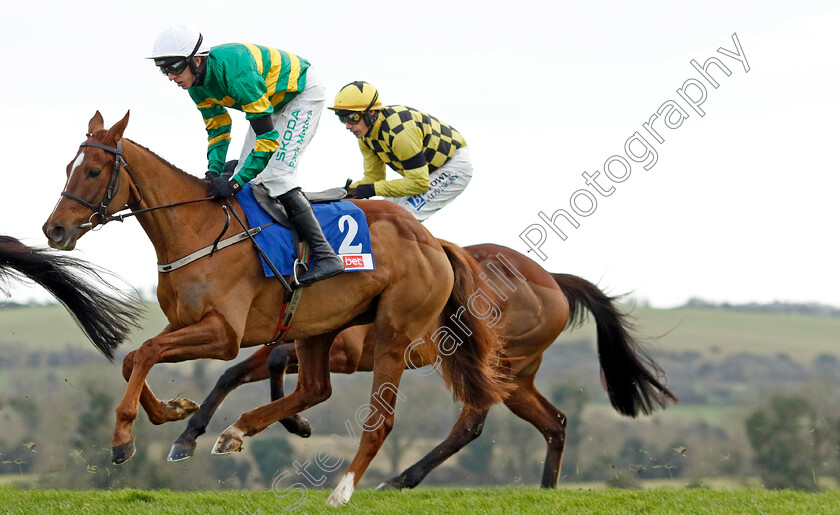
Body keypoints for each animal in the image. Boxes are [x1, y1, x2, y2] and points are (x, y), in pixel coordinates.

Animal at [41, 112, 512, 508]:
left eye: (94, 171)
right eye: (67, 168)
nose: (54, 229)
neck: (199, 230)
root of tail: (433, 243)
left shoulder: (224, 335)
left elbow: (148, 354)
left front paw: (123, 437)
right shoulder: (184, 322)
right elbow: (134, 359)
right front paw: (174, 414)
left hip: (394, 334)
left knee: (380, 420)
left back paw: (342, 491)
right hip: (321, 327)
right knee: (316, 389)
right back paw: (238, 430)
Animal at [169, 242, 676, 488]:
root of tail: (552, 279)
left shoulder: (340, 352)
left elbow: (274, 361)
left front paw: (295, 424)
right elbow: (233, 371)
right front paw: (191, 435)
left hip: (494, 363)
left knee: (472, 423)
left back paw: (399, 480)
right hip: (515, 375)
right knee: (555, 422)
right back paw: (546, 490)